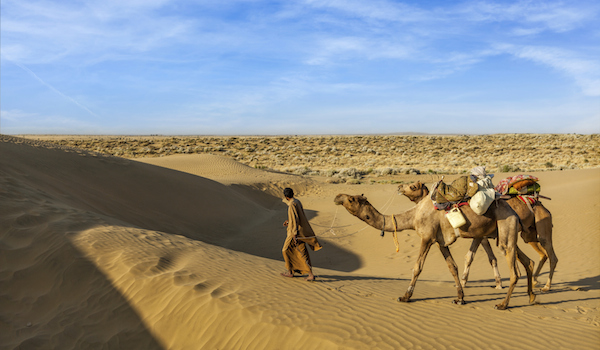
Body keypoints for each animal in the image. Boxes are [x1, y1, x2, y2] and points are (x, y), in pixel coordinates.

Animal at [336, 187, 536, 310]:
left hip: (505, 229)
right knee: (528, 261)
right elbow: (452, 267)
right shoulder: (441, 242)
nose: (337, 197)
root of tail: (515, 212)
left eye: (351, 199)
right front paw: (460, 298)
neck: (413, 216)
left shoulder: (427, 237)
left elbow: (417, 267)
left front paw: (405, 296)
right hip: (506, 233)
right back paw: (532, 297)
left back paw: (502, 304)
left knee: (515, 271)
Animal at [398, 180, 556, 292]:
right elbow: (489, 258)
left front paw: (464, 282)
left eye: (413, 186)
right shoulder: (482, 236)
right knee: (540, 255)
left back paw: (546, 286)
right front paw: (498, 283)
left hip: (542, 228)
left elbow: (472, 257)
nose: (399, 187)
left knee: (551, 255)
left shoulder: (481, 235)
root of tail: (541, 204)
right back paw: (534, 281)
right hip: (528, 234)